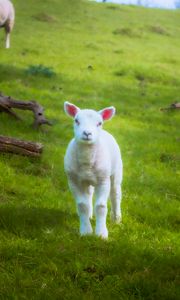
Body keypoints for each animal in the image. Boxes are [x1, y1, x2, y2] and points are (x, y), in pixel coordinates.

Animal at [64, 102, 123, 238]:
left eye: (99, 123)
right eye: (76, 120)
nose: (87, 133)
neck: (87, 162)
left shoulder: (103, 180)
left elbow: (101, 206)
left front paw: (101, 234)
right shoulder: (73, 181)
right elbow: (82, 205)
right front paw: (86, 231)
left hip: (116, 172)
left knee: (115, 194)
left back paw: (116, 219)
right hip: (87, 180)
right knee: (89, 194)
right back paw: (90, 216)